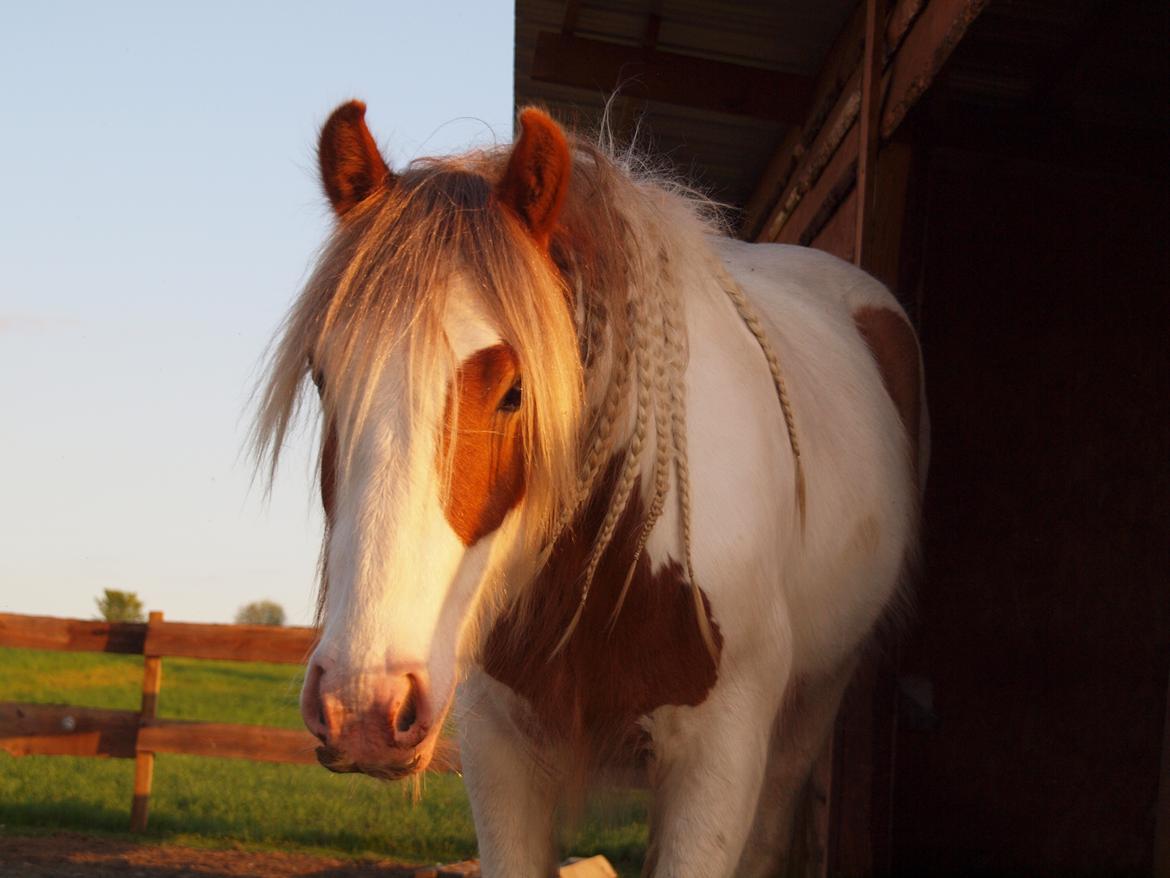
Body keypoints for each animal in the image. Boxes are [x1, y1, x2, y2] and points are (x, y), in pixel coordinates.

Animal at [253, 99, 921, 875]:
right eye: (322, 376)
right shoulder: (499, 753)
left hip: (809, 713)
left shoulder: (718, 767)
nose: (362, 705)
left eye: (515, 390)